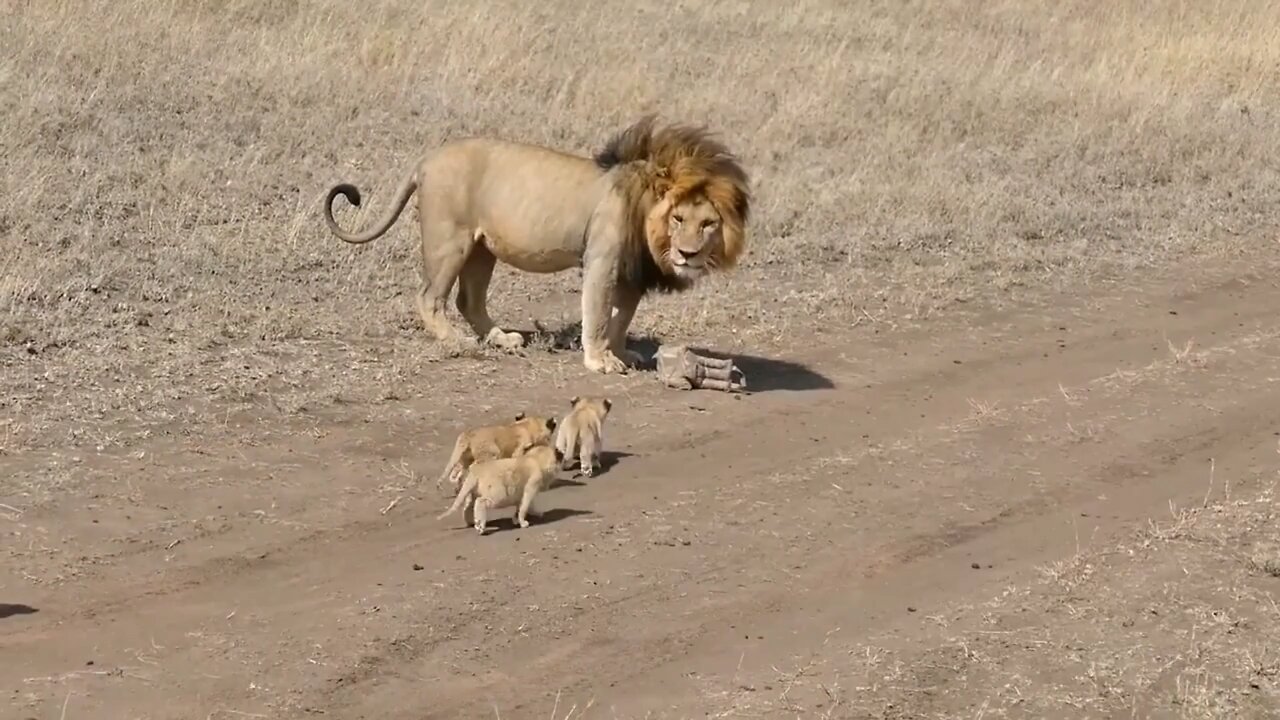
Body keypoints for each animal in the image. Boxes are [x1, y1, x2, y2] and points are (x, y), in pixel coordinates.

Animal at [318, 114, 747, 371]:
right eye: (678, 219)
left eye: (708, 224)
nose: (688, 254)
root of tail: (426, 159)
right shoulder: (602, 260)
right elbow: (597, 314)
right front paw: (600, 360)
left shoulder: (631, 274)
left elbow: (621, 318)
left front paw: (621, 351)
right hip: (450, 240)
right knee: (430, 297)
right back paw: (458, 342)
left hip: (482, 248)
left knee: (469, 300)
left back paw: (500, 339)